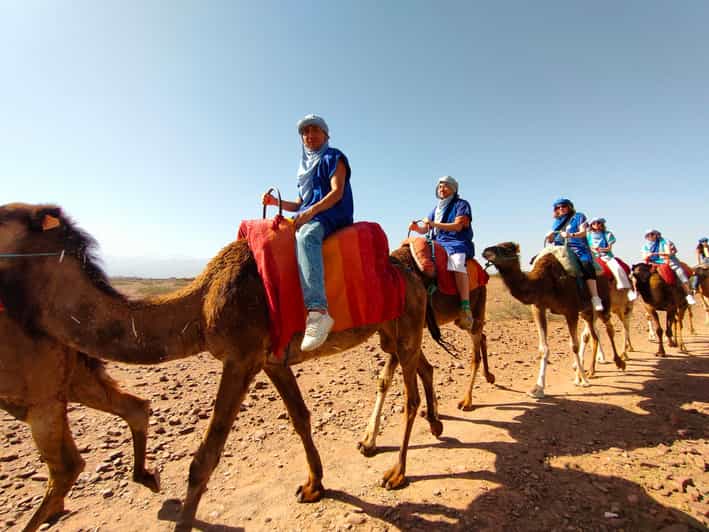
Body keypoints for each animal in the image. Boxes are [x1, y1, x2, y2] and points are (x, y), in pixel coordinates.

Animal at [357, 244, 492, 455]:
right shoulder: (400, 337)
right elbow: (386, 380)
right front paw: (368, 441)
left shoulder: (406, 333)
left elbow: (415, 373)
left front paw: (434, 420)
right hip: (460, 319)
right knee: (482, 337)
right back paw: (489, 377)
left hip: (475, 307)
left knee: (476, 350)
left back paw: (466, 401)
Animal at [481, 242, 625, 399]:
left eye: (506, 249)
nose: (486, 252)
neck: (545, 281)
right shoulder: (538, 307)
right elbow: (544, 348)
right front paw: (537, 388)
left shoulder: (571, 310)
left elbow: (574, 346)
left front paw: (583, 380)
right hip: (587, 311)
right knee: (594, 335)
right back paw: (591, 370)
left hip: (601, 304)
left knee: (608, 328)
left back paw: (619, 362)